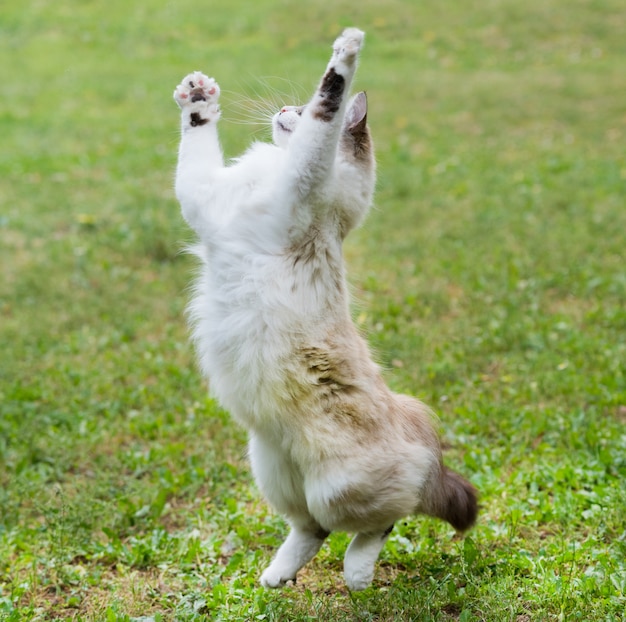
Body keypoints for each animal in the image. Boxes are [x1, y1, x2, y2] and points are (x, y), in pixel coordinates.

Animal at [173, 28, 476, 596]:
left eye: (297, 108)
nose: (282, 111)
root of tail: (418, 437)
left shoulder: (304, 178)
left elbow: (329, 106)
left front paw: (348, 48)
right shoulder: (203, 199)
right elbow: (197, 139)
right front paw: (198, 97)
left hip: (338, 488)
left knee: (380, 522)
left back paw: (356, 576)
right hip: (273, 468)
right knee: (311, 529)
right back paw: (276, 577)